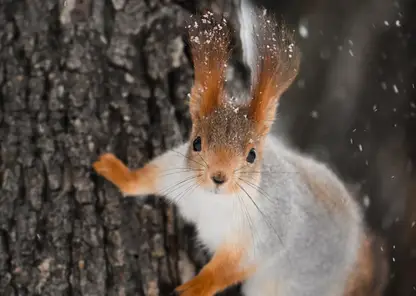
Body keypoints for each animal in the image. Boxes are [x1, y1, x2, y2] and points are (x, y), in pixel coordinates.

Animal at [92, 1, 388, 294]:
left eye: (252, 155)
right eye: (197, 143)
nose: (218, 177)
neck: (212, 201)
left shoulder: (261, 238)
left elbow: (226, 270)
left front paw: (195, 288)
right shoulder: (174, 173)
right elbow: (144, 178)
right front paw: (114, 170)